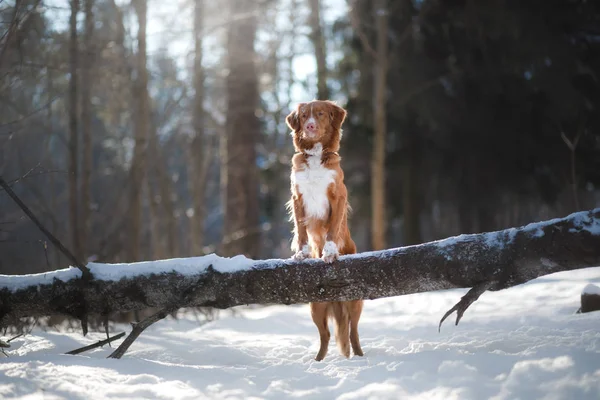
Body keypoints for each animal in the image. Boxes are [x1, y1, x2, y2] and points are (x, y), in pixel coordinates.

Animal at [284, 101, 364, 362]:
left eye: (319, 114)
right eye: (303, 115)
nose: (309, 126)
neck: (317, 155)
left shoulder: (338, 196)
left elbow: (331, 231)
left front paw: (329, 254)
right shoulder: (297, 197)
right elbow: (300, 232)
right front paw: (302, 254)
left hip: (354, 302)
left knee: (353, 333)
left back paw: (360, 358)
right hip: (315, 305)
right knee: (326, 336)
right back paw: (317, 363)